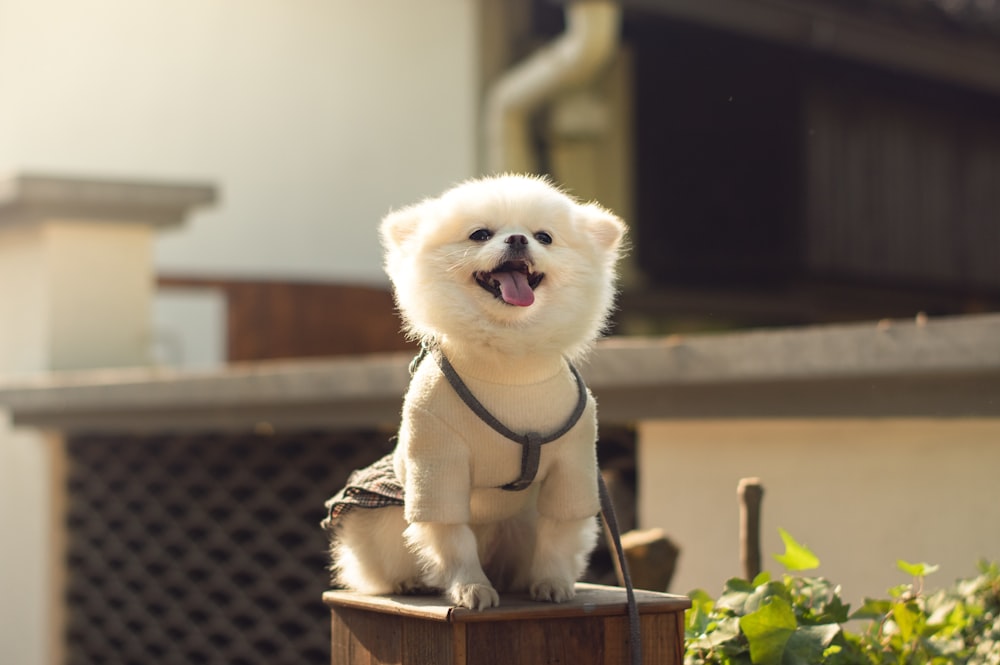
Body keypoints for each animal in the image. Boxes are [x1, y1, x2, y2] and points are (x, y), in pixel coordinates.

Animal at [324, 174, 624, 608]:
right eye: (480, 234)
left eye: (544, 237)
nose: (517, 238)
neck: (509, 364)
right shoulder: (438, 463)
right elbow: (453, 539)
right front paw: (471, 587)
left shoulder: (573, 463)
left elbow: (558, 533)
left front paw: (552, 582)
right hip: (377, 517)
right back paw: (409, 582)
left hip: (521, 521)